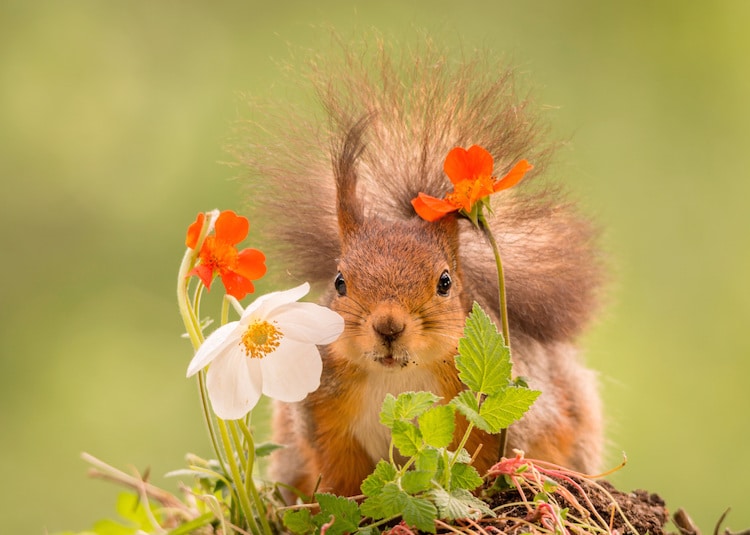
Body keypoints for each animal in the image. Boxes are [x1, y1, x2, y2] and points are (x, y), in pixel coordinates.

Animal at [238, 40, 608, 502]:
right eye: (340, 283)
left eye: (445, 282)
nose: (388, 326)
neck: (399, 379)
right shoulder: (326, 426)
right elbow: (342, 486)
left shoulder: (493, 421)